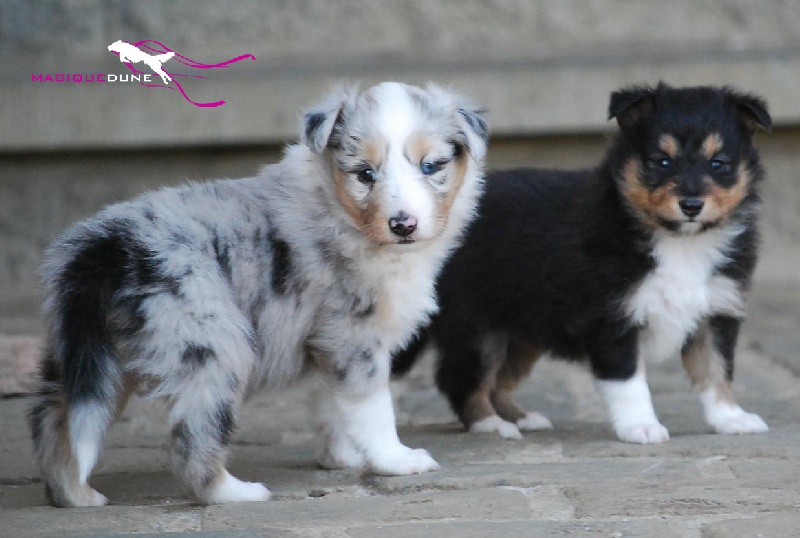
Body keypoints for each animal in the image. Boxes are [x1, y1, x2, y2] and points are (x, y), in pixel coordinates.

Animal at [31, 81, 488, 504]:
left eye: (430, 166)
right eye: (365, 174)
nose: (403, 224)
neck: (340, 209)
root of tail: (107, 244)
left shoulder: (325, 344)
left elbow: (333, 405)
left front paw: (342, 457)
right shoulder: (353, 337)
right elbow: (372, 406)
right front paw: (394, 460)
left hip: (90, 356)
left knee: (56, 420)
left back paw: (77, 496)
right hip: (213, 346)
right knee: (190, 437)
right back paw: (234, 493)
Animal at [396, 82, 772, 440]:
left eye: (718, 163)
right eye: (662, 161)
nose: (692, 205)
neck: (680, 241)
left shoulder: (715, 313)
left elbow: (716, 370)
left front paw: (732, 419)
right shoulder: (612, 318)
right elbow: (629, 382)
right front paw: (641, 427)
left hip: (521, 331)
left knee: (498, 380)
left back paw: (521, 418)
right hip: (478, 328)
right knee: (462, 381)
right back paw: (492, 425)